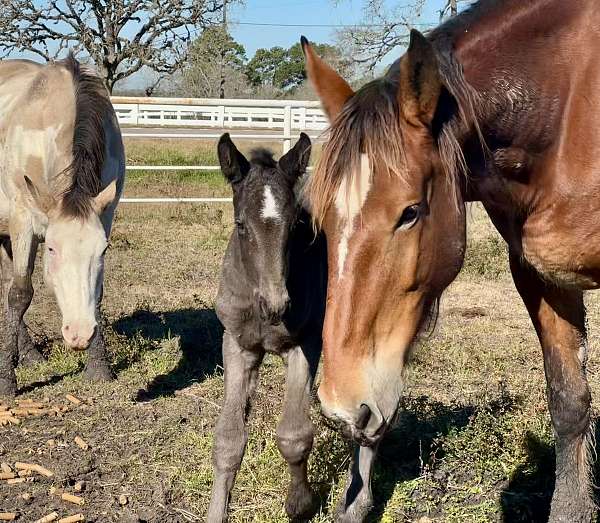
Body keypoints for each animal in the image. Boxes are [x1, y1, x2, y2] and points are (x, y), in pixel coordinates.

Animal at [0, 54, 125, 398]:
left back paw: (29, 354)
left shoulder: (106, 215)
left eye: (103, 250)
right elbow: (20, 293)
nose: (79, 333)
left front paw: (99, 368)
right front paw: (6, 382)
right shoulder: (22, 221)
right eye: (53, 249)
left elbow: (98, 292)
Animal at [304, 0, 600, 520]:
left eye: (410, 212)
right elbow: (569, 402)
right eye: (323, 217)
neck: (566, 110)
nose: (343, 409)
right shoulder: (542, 277)